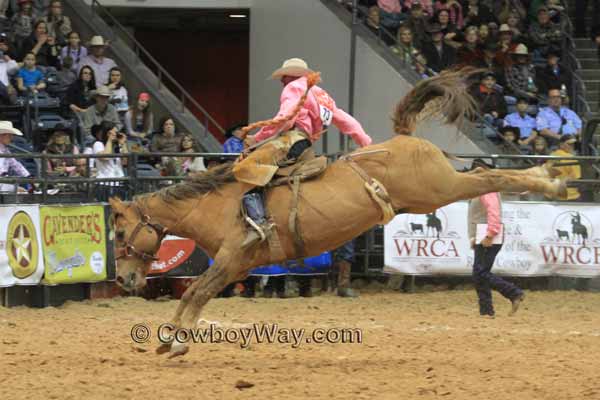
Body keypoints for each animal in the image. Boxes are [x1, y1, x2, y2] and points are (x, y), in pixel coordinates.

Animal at [109, 69, 568, 356]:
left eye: (118, 233)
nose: (124, 280)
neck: (216, 203)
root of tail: (401, 139)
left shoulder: (231, 259)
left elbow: (194, 292)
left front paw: (174, 340)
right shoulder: (234, 267)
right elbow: (197, 294)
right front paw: (170, 340)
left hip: (439, 188)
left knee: (491, 176)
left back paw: (550, 179)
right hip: (434, 191)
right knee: (484, 174)